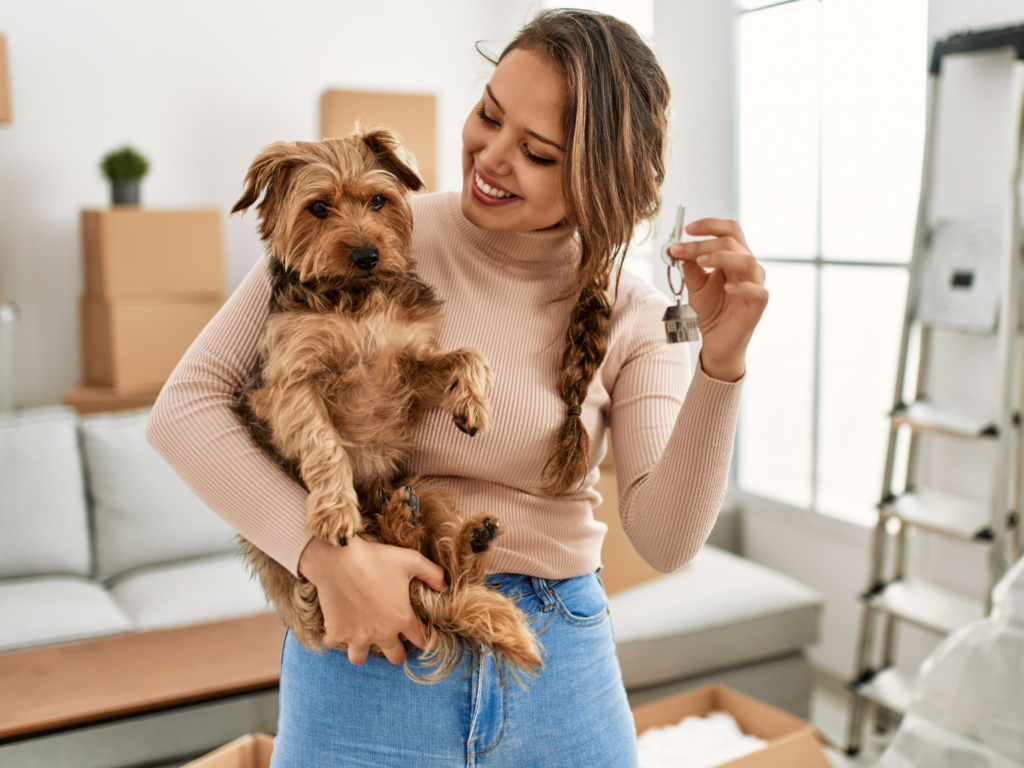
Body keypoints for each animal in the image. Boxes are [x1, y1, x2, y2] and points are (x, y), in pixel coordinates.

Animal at [227, 128, 540, 684]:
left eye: (378, 200)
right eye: (318, 207)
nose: (368, 254)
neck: (356, 297)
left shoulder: (411, 369)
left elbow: (469, 355)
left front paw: (473, 404)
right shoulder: (289, 383)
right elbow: (323, 440)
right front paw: (335, 510)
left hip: (428, 489)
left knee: (443, 570)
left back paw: (460, 535)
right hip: (305, 577)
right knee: (421, 578)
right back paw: (395, 522)